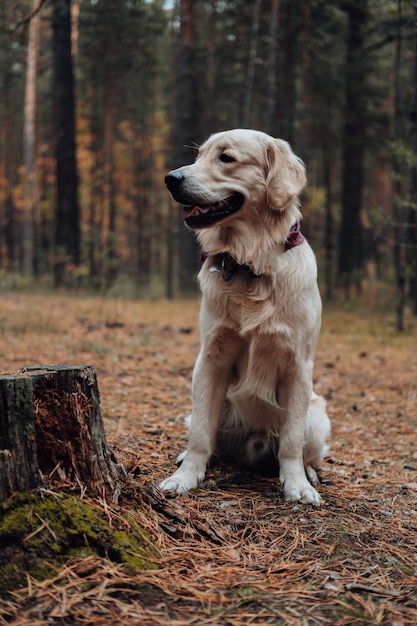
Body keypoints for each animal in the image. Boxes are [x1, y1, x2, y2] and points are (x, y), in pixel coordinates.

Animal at [158, 129, 328, 504]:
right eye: (198, 156)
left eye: (226, 158)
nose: (170, 179)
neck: (251, 262)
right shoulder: (210, 358)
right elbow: (201, 435)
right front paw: (184, 477)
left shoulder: (299, 365)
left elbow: (291, 440)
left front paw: (297, 485)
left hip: (318, 416)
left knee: (305, 447)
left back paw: (309, 472)